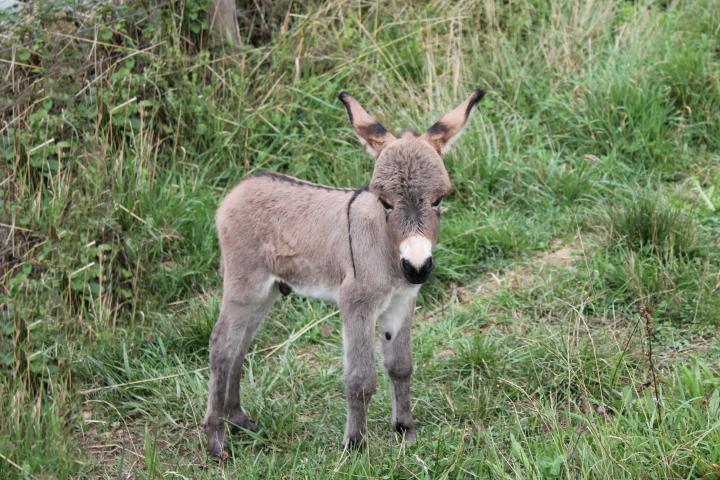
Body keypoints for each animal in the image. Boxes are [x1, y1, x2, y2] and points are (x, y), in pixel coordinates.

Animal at [202, 89, 484, 454]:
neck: (386, 248)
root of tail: (238, 190)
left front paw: (405, 429)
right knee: (222, 346)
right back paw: (216, 439)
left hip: (267, 292)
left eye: (438, 200)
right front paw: (355, 445)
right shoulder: (356, 303)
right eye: (386, 202)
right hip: (244, 283)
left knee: (240, 344)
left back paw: (238, 420)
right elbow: (361, 378)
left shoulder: (401, 302)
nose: (418, 268)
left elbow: (401, 366)